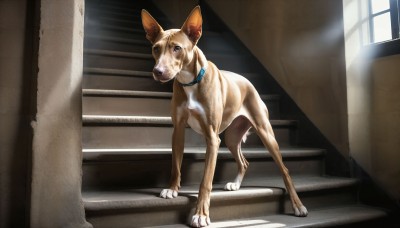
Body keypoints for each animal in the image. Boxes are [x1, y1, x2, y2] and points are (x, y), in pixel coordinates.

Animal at [142, 6, 308, 227]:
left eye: (176, 48)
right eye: (156, 48)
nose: (158, 71)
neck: (190, 81)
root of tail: (248, 82)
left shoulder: (213, 139)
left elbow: (206, 181)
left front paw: (201, 214)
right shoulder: (177, 130)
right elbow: (176, 165)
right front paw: (172, 189)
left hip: (266, 134)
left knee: (285, 171)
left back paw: (298, 205)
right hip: (231, 138)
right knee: (244, 162)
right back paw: (235, 185)